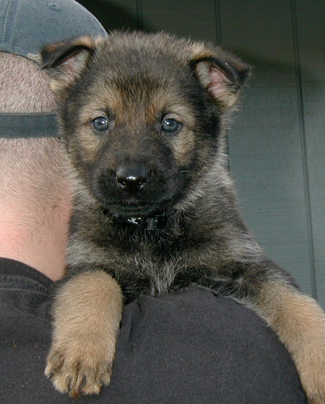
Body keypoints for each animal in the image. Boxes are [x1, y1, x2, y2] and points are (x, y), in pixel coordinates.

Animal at [41, 31, 324, 400]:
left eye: (169, 123)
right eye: (101, 122)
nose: (131, 179)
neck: (151, 228)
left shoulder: (245, 266)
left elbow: (297, 304)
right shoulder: (86, 262)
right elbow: (93, 285)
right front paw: (81, 351)